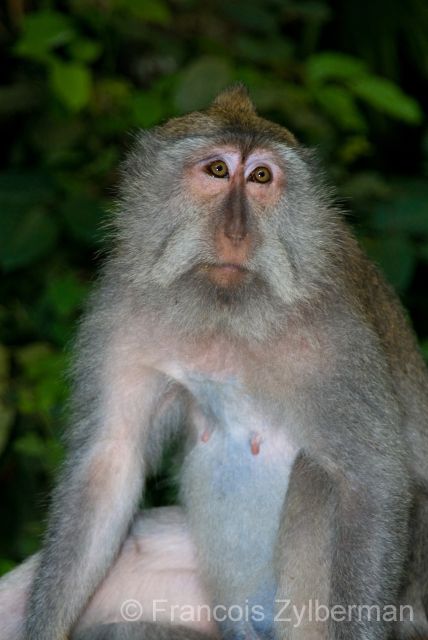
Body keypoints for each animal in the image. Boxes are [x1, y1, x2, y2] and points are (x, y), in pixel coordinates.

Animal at [17, 84, 428, 640]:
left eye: (261, 177)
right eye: (217, 170)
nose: (236, 233)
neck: (225, 317)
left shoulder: (336, 332)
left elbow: (370, 483)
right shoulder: (123, 308)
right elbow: (110, 461)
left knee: (318, 478)